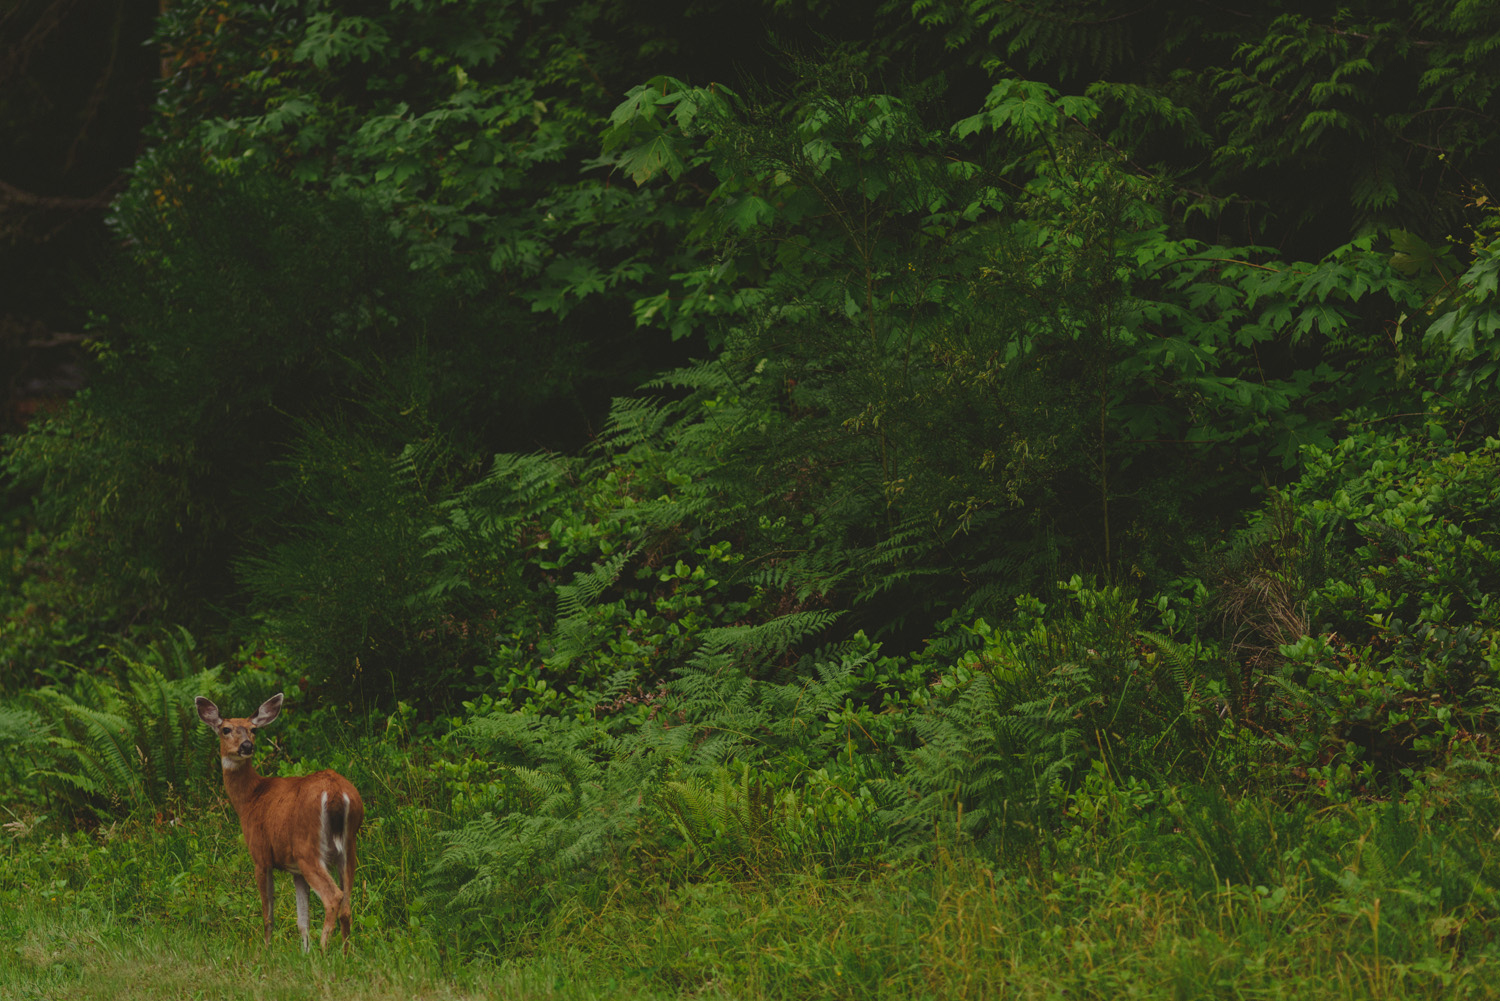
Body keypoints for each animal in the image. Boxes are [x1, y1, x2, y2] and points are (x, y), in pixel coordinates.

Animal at [193, 693, 363, 954]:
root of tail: (336, 793)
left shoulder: (261, 855)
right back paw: (345, 955)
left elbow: (268, 914)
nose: (246, 746)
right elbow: (302, 919)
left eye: (253, 729)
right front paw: (305, 953)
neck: (250, 799)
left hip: (308, 849)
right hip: (349, 847)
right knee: (347, 902)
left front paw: (267, 949)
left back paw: (325, 951)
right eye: (226, 729)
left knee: (334, 896)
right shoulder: (294, 870)